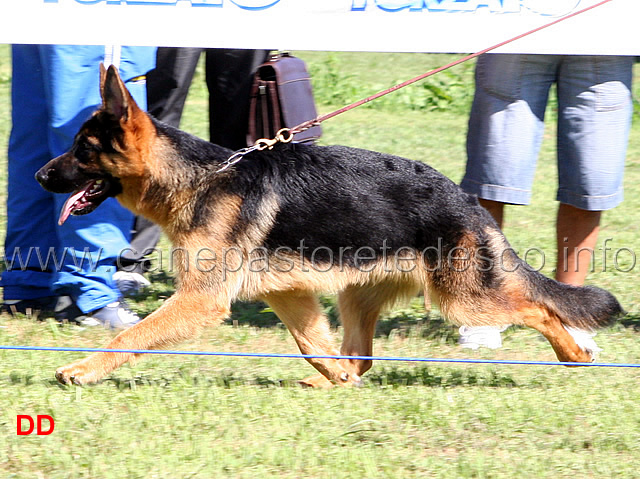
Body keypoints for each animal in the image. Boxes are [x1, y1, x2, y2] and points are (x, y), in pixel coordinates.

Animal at [33, 64, 620, 386]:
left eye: (81, 151)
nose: (39, 176)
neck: (199, 178)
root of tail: (466, 200)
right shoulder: (290, 294)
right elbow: (313, 345)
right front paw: (333, 379)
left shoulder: (201, 299)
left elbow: (132, 334)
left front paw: (83, 370)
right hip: (358, 296)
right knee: (360, 354)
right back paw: (340, 382)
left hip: (466, 299)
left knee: (540, 309)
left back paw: (574, 353)